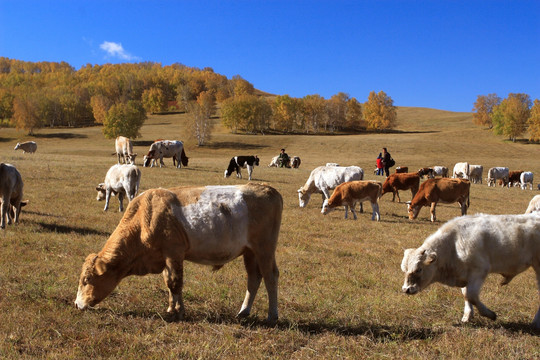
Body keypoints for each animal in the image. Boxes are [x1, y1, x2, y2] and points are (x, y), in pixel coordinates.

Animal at [75, 183, 282, 324]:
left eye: (86, 280)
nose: (77, 304)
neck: (144, 218)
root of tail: (267, 188)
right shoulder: (166, 259)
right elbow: (170, 283)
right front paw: (171, 308)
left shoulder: (174, 252)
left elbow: (175, 282)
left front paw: (178, 312)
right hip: (250, 252)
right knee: (254, 278)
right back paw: (244, 312)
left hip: (265, 248)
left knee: (270, 277)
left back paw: (272, 315)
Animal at [400, 214, 540, 330]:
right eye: (404, 269)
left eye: (419, 269)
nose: (406, 289)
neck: (453, 245)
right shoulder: (465, 275)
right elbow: (465, 295)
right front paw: (467, 316)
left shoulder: (479, 272)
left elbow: (471, 295)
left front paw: (489, 314)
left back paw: (535, 323)